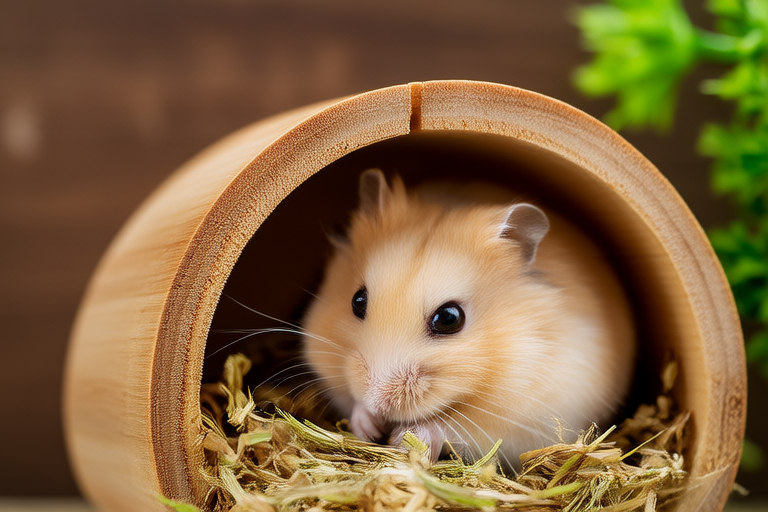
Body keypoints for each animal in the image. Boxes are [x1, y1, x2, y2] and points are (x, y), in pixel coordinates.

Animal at [301, 169, 635, 467]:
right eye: (357, 301)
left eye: (449, 318)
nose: (378, 403)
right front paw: (369, 425)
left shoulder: (525, 418)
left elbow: (452, 427)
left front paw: (403, 438)